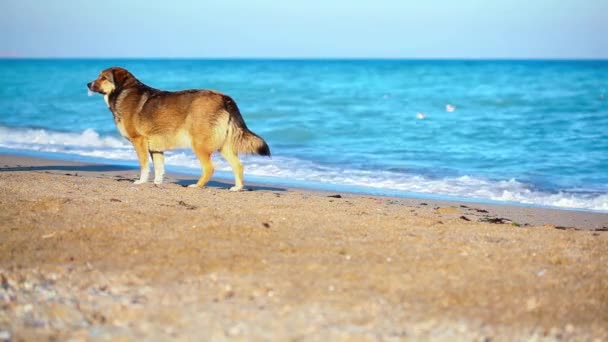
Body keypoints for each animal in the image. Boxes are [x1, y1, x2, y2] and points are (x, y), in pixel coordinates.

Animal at [86, 66, 270, 190]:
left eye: (103, 77)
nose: (88, 84)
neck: (122, 91)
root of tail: (223, 98)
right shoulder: (156, 148)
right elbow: (159, 168)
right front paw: (157, 183)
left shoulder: (139, 142)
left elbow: (144, 166)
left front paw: (141, 181)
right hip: (223, 145)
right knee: (238, 166)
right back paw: (237, 188)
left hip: (199, 144)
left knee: (209, 168)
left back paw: (197, 186)